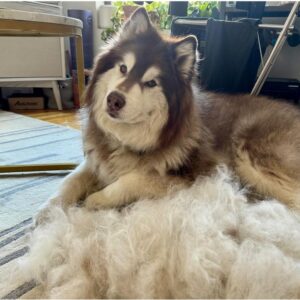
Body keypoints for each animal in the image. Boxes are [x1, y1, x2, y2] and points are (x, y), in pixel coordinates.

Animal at [37, 7, 300, 216]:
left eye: (151, 83)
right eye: (123, 68)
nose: (114, 100)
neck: (126, 139)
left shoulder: (191, 177)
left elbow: (132, 179)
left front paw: (96, 199)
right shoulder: (94, 161)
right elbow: (71, 180)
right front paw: (49, 209)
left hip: (251, 156)